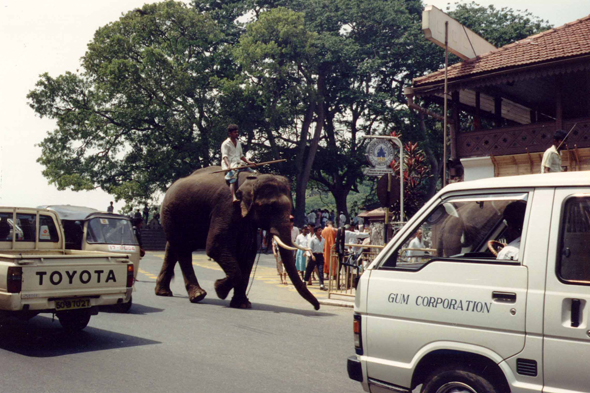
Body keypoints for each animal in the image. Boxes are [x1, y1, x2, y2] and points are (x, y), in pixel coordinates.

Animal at [153, 165, 320, 310]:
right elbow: (216, 246)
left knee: (173, 247)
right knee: (183, 249)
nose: (316, 307)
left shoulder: (245, 220)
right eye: (268, 207)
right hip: (171, 214)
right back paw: (198, 296)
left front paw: (242, 304)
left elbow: (248, 253)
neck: (252, 179)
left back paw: (163, 292)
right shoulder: (226, 207)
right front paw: (219, 289)